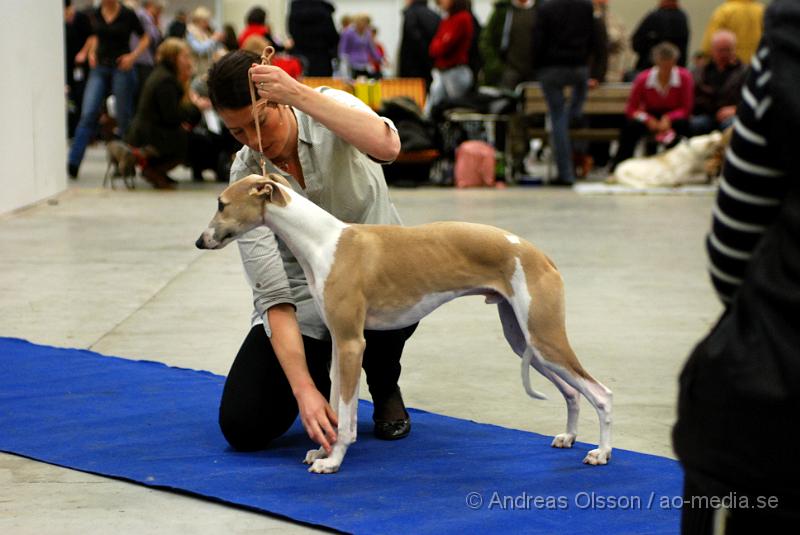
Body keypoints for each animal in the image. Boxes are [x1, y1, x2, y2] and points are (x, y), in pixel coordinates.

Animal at [197, 175, 616, 474]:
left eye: (221, 204)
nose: (201, 241)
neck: (323, 242)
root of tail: (539, 254)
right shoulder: (339, 344)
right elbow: (333, 403)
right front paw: (322, 447)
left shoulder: (352, 342)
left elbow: (346, 415)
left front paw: (334, 460)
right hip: (525, 338)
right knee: (573, 391)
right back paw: (569, 437)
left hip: (544, 336)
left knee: (601, 392)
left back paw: (601, 452)